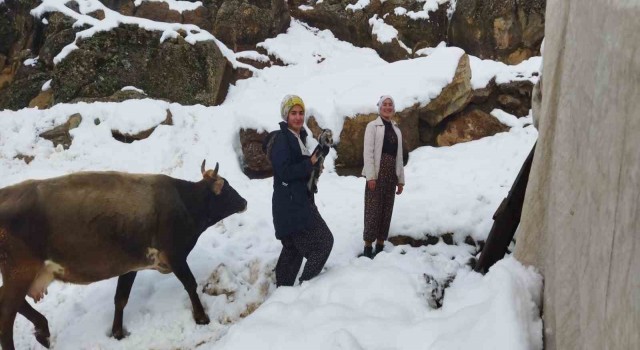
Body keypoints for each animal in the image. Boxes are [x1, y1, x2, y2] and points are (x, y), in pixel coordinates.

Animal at [0, 161, 248, 350]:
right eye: (226, 187)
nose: (244, 201)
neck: (185, 203)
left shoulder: (131, 266)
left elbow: (120, 298)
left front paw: (117, 332)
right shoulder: (175, 255)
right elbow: (190, 284)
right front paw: (201, 317)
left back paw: (43, 331)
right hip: (20, 272)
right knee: (6, 312)